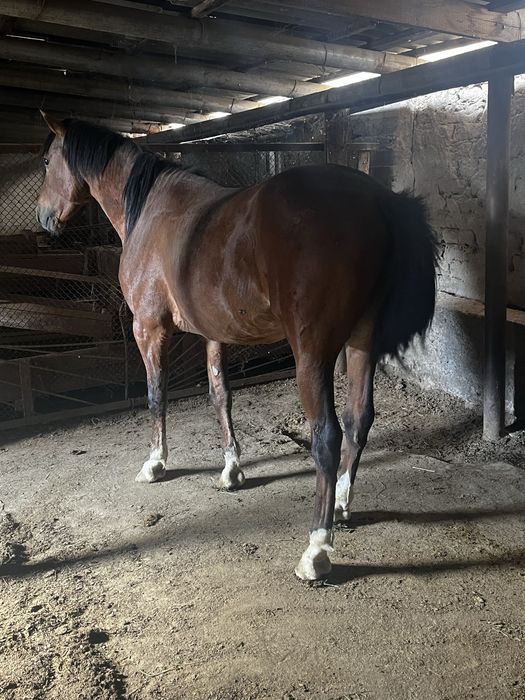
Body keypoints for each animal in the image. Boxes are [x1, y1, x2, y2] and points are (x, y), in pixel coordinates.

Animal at [36, 112, 437, 581]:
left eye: (47, 161)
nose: (44, 217)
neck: (150, 210)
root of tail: (378, 201)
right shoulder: (215, 333)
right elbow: (220, 396)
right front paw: (231, 469)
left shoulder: (148, 328)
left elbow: (156, 396)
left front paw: (155, 462)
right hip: (361, 343)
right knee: (359, 421)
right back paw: (340, 504)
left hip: (313, 354)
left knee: (328, 435)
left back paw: (316, 550)